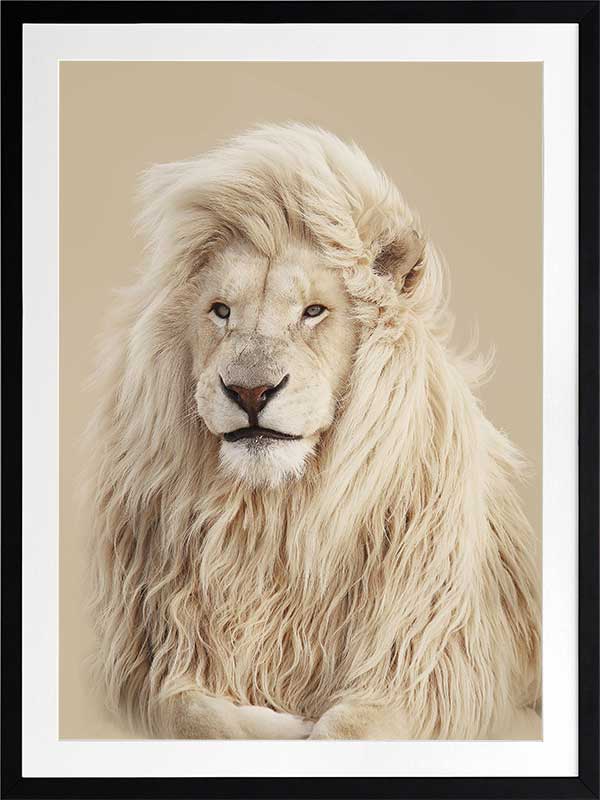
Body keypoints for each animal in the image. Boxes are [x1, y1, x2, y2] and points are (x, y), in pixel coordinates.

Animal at [87, 123, 541, 740]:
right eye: (221, 310)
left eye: (314, 311)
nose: (250, 391)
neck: (275, 520)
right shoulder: (152, 659)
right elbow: (192, 714)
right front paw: (272, 727)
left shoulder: (428, 670)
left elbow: (344, 732)